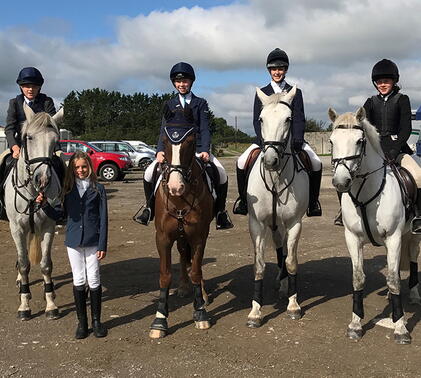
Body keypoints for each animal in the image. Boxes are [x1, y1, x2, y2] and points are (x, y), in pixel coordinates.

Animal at [4, 108, 63, 320]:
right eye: (28, 137)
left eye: (55, 141)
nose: (43, 180)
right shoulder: (16, 228)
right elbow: (23, 264)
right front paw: (24, 306)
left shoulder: (48, 226)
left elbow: (46, 264)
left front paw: (51, 304)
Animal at [148, 125, 213, 338]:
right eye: (164, 141)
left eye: (191, 142)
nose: (176, 187)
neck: (179, 200)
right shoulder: (163, 238)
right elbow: (165, 275)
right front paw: (160, 320)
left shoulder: (199, 236)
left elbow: (196, 271)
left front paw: (200, 312)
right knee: (184, 254)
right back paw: (184, 287)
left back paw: (202, 295)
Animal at [246, 86, 308, 328]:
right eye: (261, 119)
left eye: (288, 119)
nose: (270, 161)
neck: (276, 179)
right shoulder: (257, 224)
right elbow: (259, 265)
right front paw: (255, 312)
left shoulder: (294, 223)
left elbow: (291, 262)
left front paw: (293, 305)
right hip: (272, 225)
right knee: (279, 245)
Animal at [330, 107, 418, 346]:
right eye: (331, 141)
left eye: (359, 141)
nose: (341, 182)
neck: (366, 194)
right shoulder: (352, 238)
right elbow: (358, 278)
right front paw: (355, 324)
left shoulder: (394, 237)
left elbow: (395, 280)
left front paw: (400, 328)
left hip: (413, 235)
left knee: (413, 258)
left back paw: (415, 293)